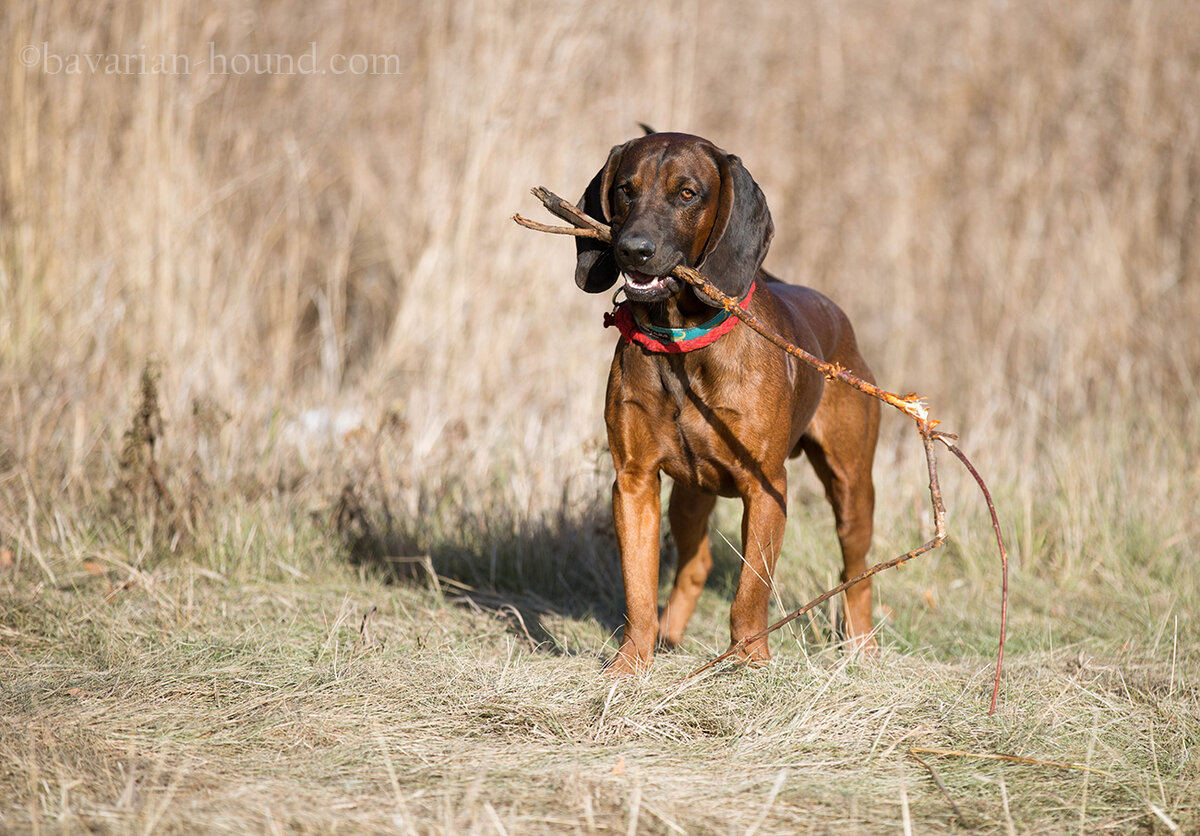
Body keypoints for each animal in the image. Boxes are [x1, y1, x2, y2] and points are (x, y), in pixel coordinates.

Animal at [576, 133, 878, 676]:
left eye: (688, 193)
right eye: (625, 189)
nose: (633, 249)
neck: (683, 343)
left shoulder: (767, 488)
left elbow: (750, 591)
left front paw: (750, 663)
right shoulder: (633, 482)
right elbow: (638, 587)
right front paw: (631, 664)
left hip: (852, 487)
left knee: (856, 570)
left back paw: (863, 650)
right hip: (690, 495)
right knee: (696, 564)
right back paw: (669, 637)